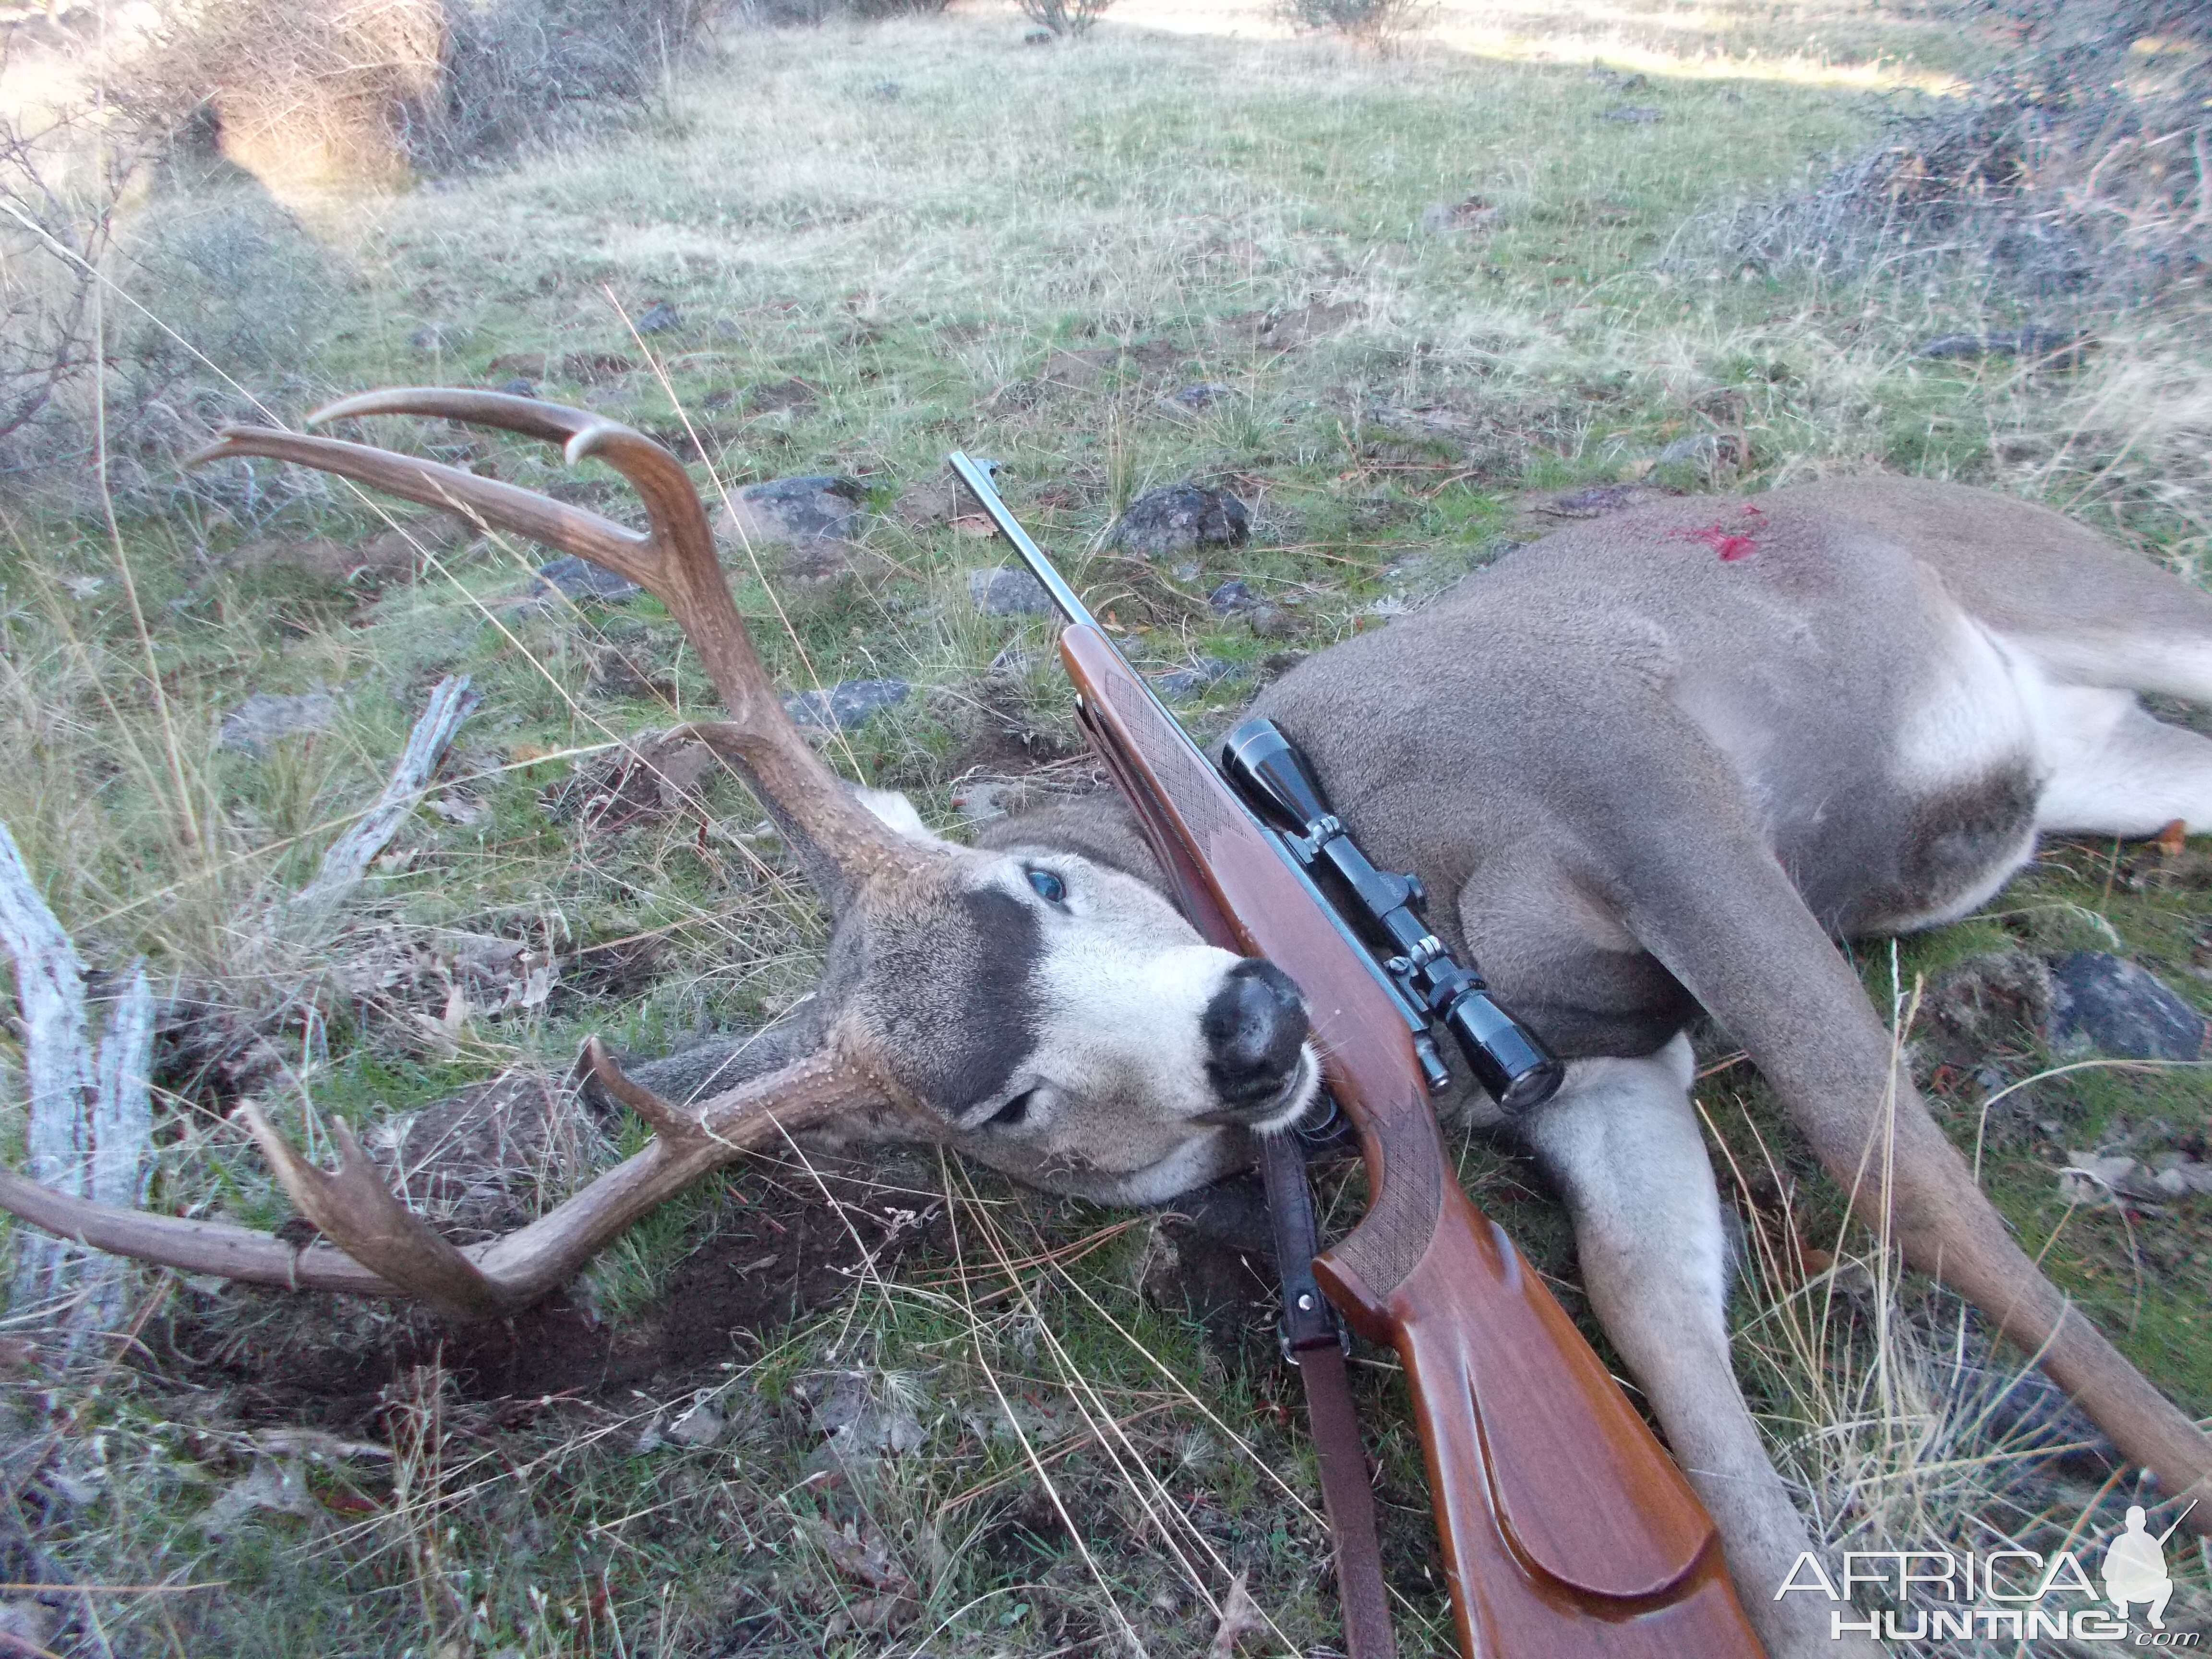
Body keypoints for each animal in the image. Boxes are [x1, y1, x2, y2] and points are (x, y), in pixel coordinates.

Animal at [4, 394, 2212, 1659]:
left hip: (2107, 608)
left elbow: (1906, 1182)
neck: (1386, 878)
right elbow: (1673, 1353)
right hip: (2093, 766)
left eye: (1042, 881)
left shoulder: (1643, 779)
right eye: (1005, 1104)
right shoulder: (1599, 1080)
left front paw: (2177, 1466)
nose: (1247, 1024)